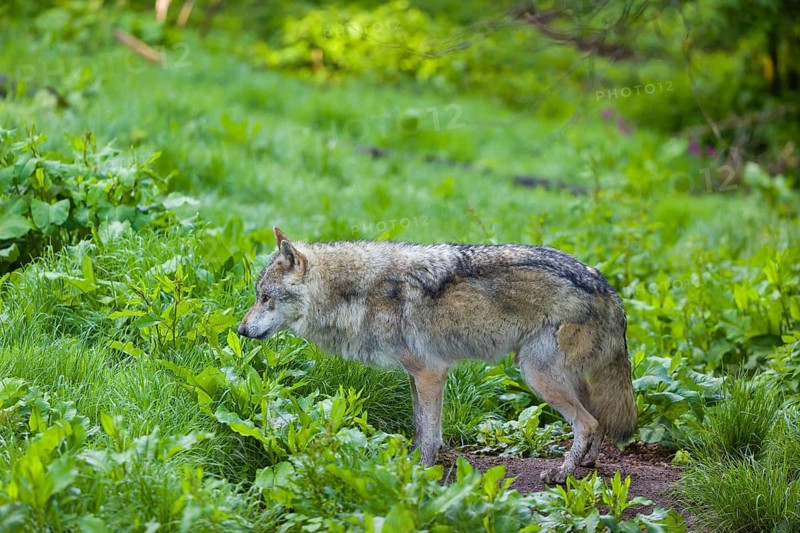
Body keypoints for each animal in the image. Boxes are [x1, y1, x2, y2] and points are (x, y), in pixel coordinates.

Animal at [238, 228, 637, 483]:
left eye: (265, 298)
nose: (240, 331)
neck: (358, 293)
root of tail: (607, 288)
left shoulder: (431, 372)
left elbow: (430, 433)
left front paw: (421, 472)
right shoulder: (416, 376)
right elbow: (420, 426)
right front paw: (410, 462)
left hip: (536, 376)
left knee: (588, 423)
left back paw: (562, 474)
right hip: (563, 379)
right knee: (597, 421)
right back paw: (586, 463)